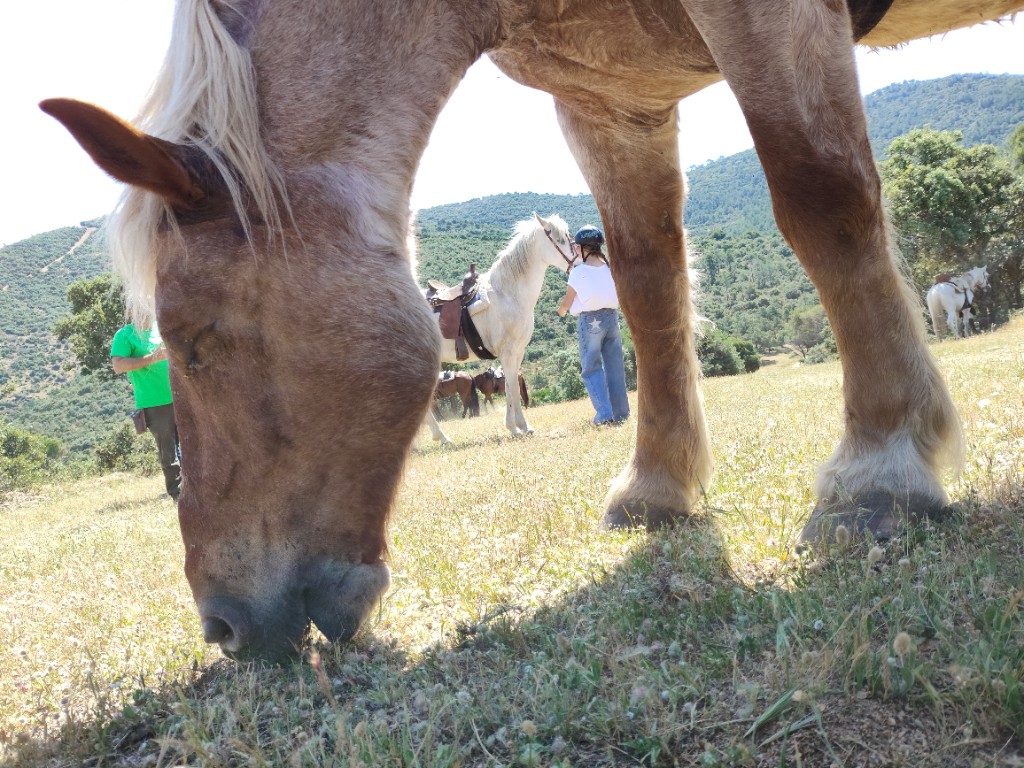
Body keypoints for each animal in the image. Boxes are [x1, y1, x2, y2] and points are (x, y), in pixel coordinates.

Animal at [425, 214, 572, 444]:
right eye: (560, 239)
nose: (579, 260)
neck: (508, 294)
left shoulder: (517, 352)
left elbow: (511, 388)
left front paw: (518, 427)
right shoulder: (508, 352)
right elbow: (512, 389)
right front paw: (518, 427)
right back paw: (441, 437)